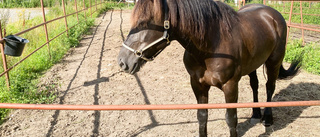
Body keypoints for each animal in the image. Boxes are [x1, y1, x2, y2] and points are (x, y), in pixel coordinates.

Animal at [117, 0, 300, 136]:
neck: (212, 45)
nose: (122, 61)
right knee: (255, 85)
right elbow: (202, 116)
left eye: (144, 22)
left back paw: (267, 118)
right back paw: (255, 115)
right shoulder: (198, 85)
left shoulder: (230, 86)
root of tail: (272, 13)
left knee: (270, 87)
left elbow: (231, 119)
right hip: (253, 64)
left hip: (273, 61)